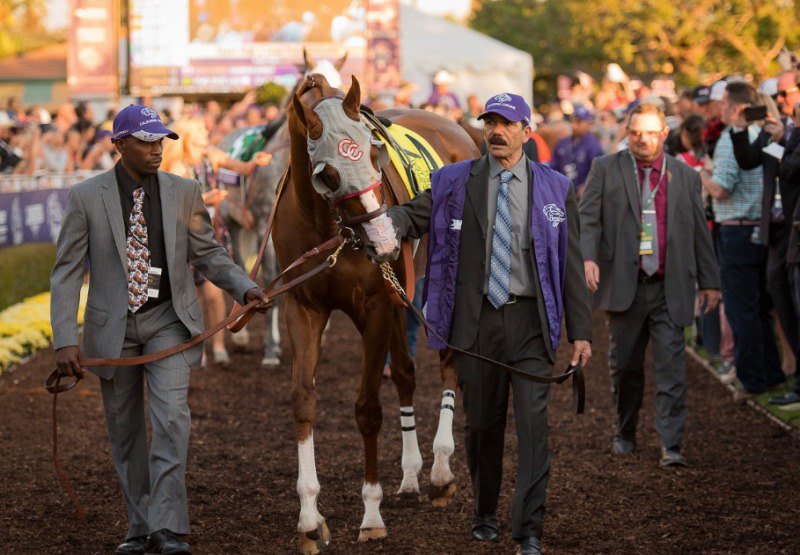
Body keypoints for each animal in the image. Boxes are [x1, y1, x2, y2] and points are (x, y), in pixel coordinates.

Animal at [272, 76, 478, 552]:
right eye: (328, 174)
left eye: (372, 153)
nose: (385, 239)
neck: (328, 227)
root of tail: (457, 127)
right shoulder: (303, 306)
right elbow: (303, 399)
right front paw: (309, 516)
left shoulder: (376, 306)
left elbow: (367, 408)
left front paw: (370, 515)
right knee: (404, 372)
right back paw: (412, 474)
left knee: (448, 359)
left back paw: (442, 469)